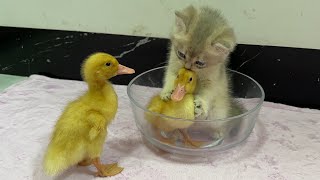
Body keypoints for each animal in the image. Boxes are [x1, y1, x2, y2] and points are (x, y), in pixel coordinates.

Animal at [160, 4, 238, 139]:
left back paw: (218, 133)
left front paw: (200, 105)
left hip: (218, 113)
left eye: (200, 63)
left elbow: (207, 92)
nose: (187, 67)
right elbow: (170, 78)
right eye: (181, 54)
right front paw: (167, 92)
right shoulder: (173, 65)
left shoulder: (212, 80)